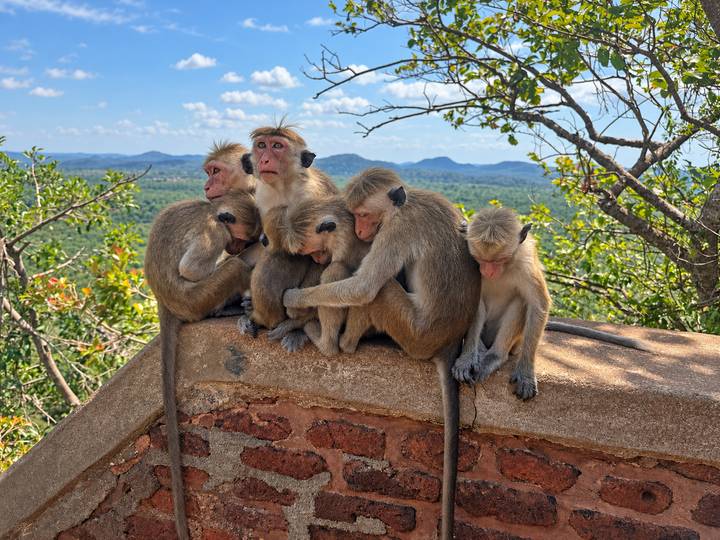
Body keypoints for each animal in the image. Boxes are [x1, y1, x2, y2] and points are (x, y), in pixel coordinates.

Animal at [144, 192, 261, 540]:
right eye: (239, 238)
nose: (237, 248)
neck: (212, 209)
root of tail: (166, 302)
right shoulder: (214, 234)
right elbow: (192, 270)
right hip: (195, 299)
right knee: (228, 271)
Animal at [282, 167, 479, 540]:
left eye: (363, 214)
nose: (361, 229)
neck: (408, 201)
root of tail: (446, 344)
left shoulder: (395, 231)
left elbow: (362, 287)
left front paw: (295, 298)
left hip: (412, 333)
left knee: (376, 289)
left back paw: (333, 342)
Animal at [452, 206, 653, 401]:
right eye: (479, 259)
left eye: (500, 260)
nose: (488, 272)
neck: (505, 268)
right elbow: (471, 300)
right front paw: (466, 359)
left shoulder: (526, 265)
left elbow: (539, 305)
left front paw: (526, 373)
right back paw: (479, 351)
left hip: (516, 342)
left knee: (521, 302)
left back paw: (495, 356)